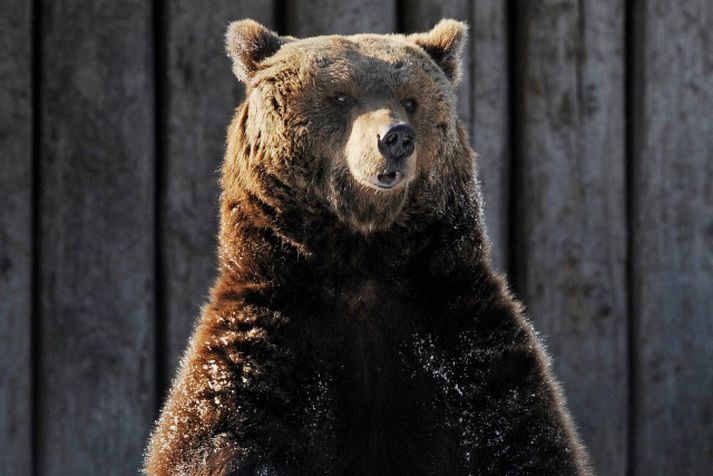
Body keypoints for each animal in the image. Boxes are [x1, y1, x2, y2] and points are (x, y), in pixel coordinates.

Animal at [143, 18, 588, 476]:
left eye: (410, 100)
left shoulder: (466, 351)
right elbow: (218, 442)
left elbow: (522, 437)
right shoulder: (258, 355)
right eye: (341, 96)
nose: (395, 138)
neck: (362, 257)